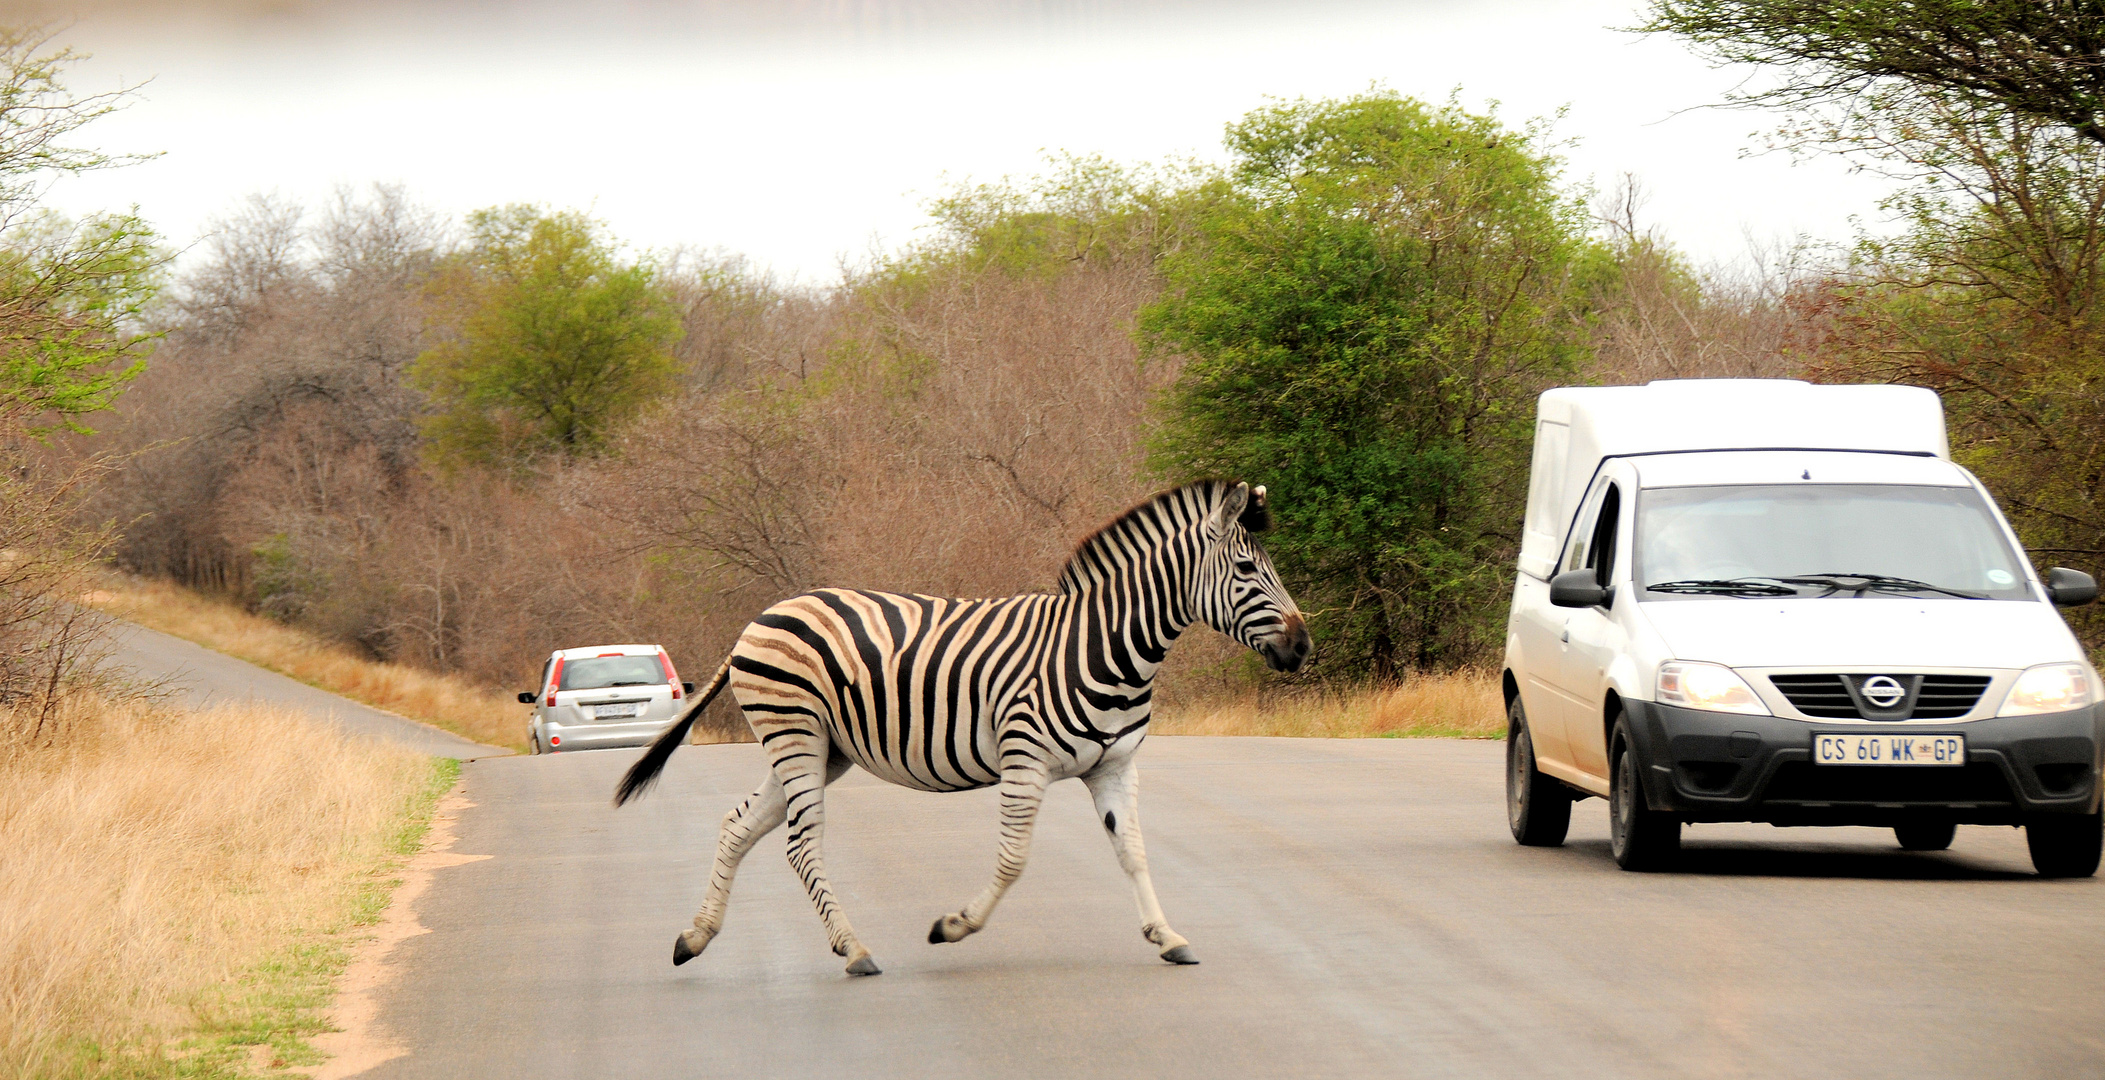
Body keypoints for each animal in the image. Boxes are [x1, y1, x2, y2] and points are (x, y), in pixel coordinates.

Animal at [610, 475, 1305, 972]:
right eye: (1247, 570)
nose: (1303, 647)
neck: (1103, 646)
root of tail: (762, 616)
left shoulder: (1115, 765)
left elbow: (1132, 851)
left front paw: (1167, 936)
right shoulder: (1025, 761)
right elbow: (1013, 861)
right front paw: (952, 927)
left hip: (819, 748)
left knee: (737, 826)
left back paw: (695, 937)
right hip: (795, 733)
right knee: (801, 843)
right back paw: (855, 950)